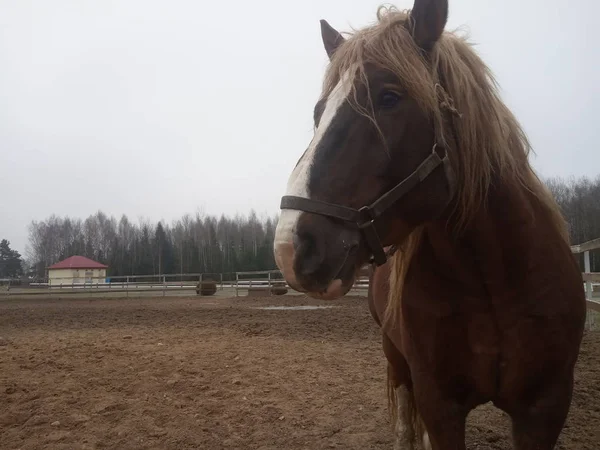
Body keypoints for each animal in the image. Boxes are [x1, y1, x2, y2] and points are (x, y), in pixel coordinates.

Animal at [274, 1, 588, 448]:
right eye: (319, 113)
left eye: (389, 97)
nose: (290, 247)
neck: (493, 280)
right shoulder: (439, 403)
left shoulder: (545, 407)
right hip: (395, 356)